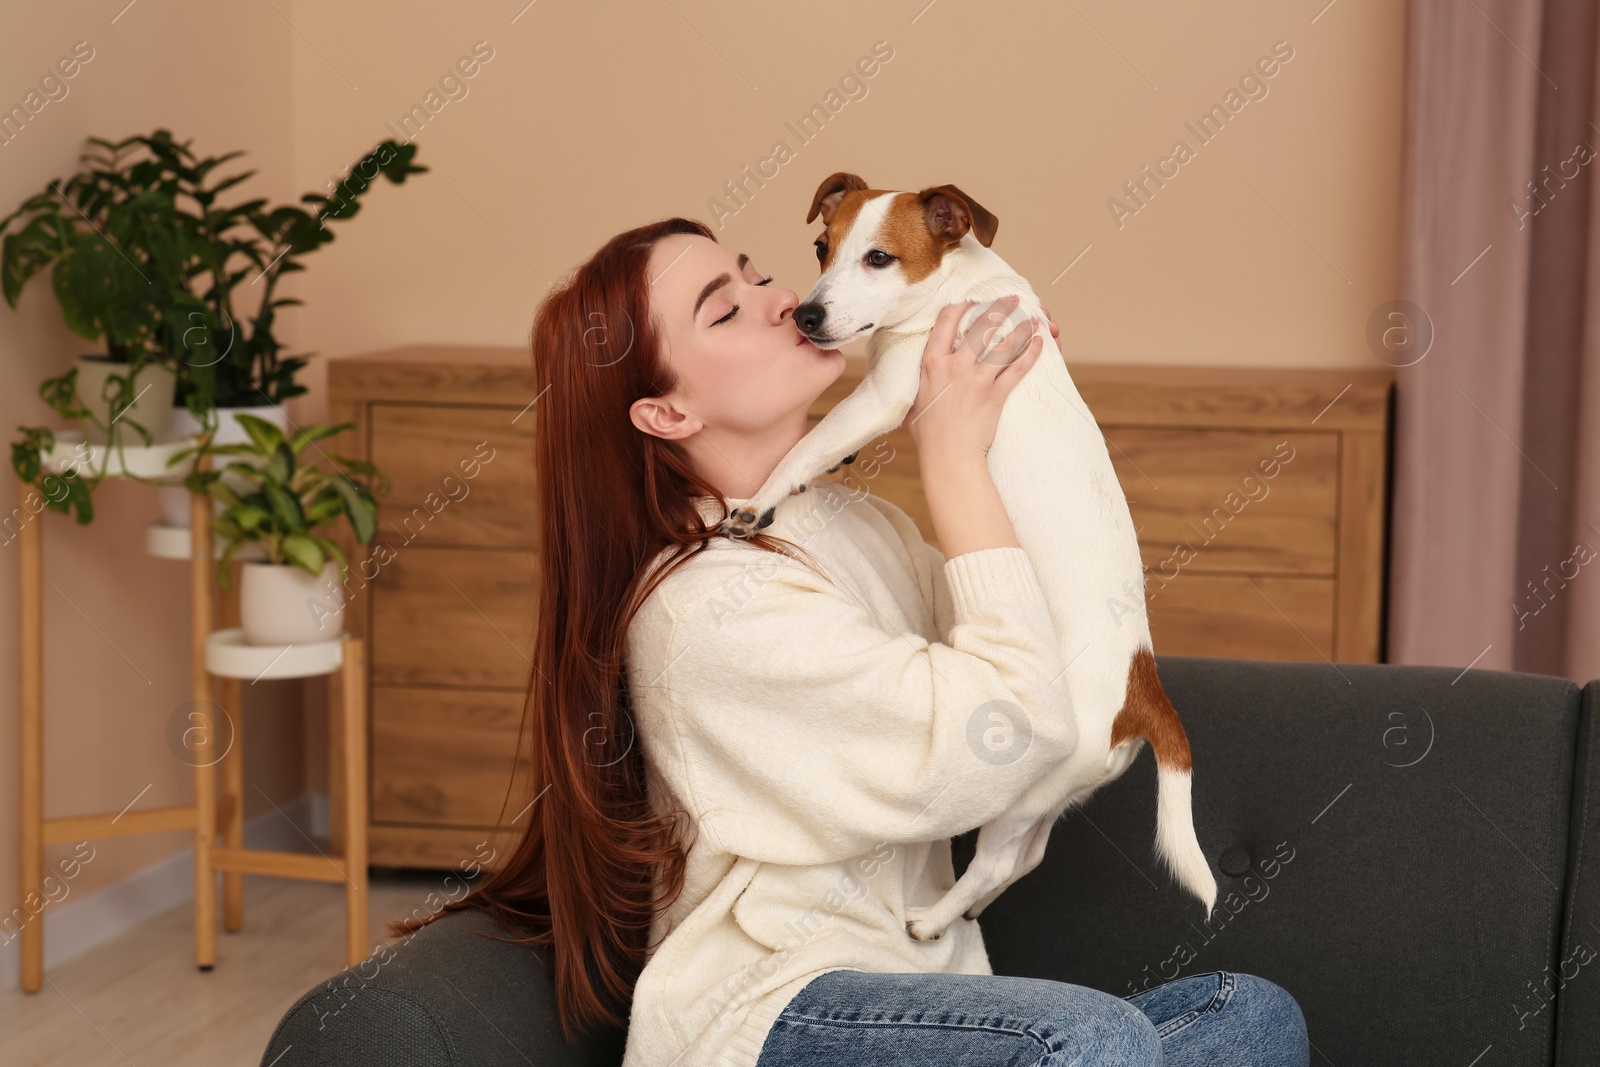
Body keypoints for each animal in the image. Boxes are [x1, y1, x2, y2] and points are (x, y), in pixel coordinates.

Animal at [720, 175, 1216, 940]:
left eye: (880, 258)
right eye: (821, 247)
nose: (805, 314)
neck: (960, 287)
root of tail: (1142, 685)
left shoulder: (883, 394)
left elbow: (802, 445)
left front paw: (757, 499)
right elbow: (818, 448)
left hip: (1021, 779)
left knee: (999, 858)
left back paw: (932, 920)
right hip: (1049, 792)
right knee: (1026, 856)